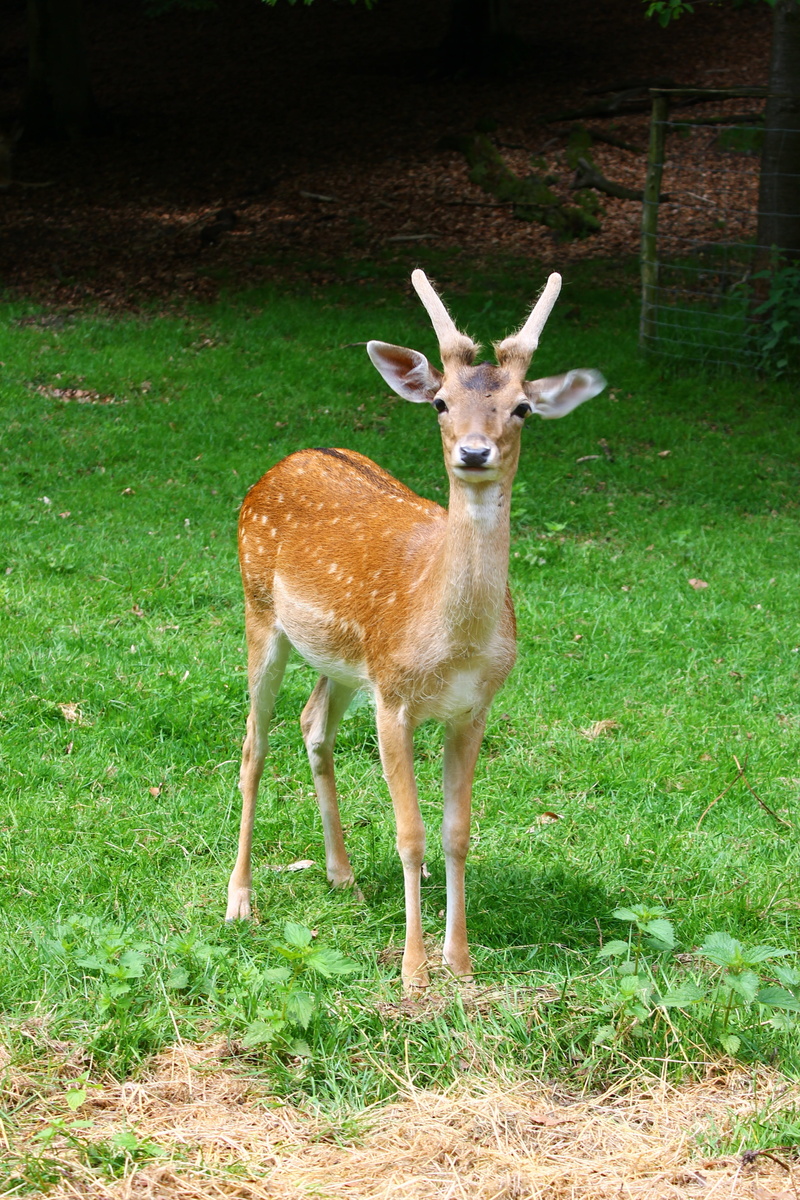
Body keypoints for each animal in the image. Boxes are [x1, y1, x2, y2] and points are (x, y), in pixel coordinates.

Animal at [226, 270, 606, 990]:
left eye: (522, 407)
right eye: (440, 402)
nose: (475, 452)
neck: (453, 646)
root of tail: (289, 459)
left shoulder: (472, 707)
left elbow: (457, 832)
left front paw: (459, 961)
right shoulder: (395, 699)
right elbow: (411, 835)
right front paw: (413, 971)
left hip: (347, 661)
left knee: (313, 723)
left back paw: (342, 876)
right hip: (261, 613)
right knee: (254, 744)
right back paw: (240, 902)